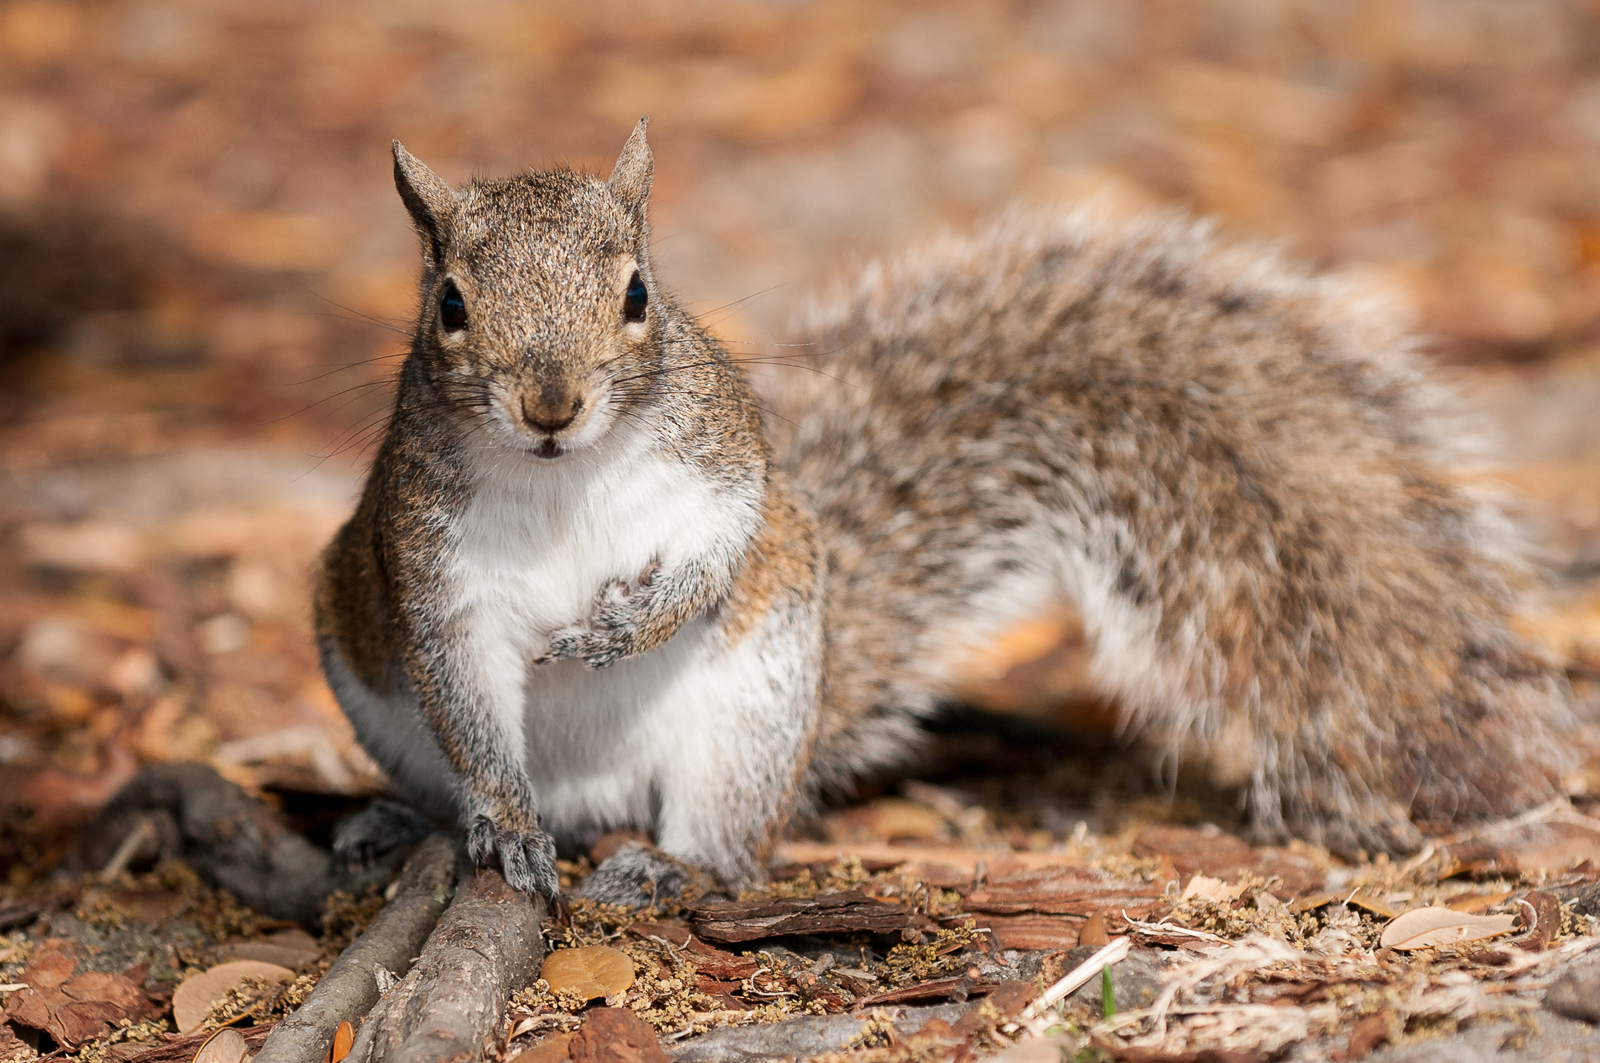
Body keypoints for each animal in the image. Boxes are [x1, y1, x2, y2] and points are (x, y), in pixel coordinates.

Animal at [308, 118, 1574, 902]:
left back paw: (676, 866)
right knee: (445, 766)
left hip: (751, 719)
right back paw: (416, 823)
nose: (552, 405)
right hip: (363, 677)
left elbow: (727, 546)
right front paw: (505, 828)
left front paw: (627, 625)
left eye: (637, 293)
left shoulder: (724, 468)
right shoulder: (431, 563)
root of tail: (596, 800)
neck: (562, 476)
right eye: (449, 306)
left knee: (729, 840)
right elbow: (469, 694)